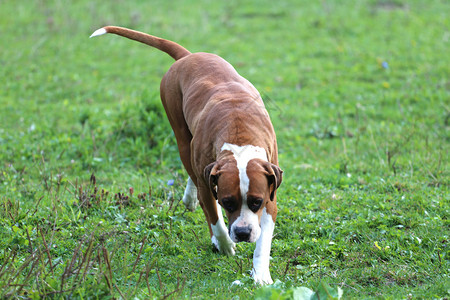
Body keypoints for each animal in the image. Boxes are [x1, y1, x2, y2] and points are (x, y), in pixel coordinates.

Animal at [89, 25, 284, 284]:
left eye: (257, 202)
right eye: (227, 202)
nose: (242, 232)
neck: (239, 137)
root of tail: (187, 56)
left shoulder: (270, 194)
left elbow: (263, 241)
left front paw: (261, 275)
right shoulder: (211, 190)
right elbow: (215, 220)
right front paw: (223, 244)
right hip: (181, 135)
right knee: (192, 169)